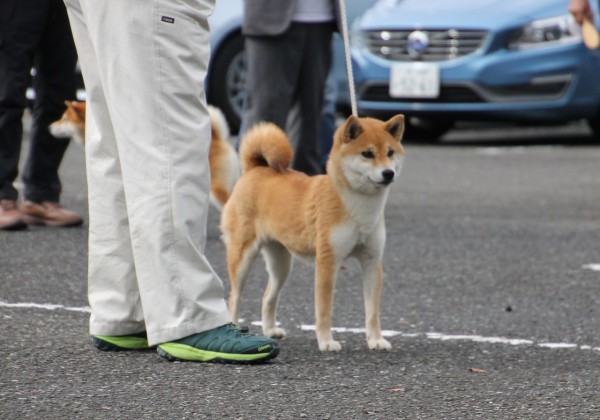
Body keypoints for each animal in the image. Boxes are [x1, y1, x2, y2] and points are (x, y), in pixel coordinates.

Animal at [219, 114, 404, 352]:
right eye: (367, 153)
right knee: (235, 298)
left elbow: (372, 312)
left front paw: (375, 340)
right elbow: (324, 310)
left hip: (281, 264)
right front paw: (326, 342)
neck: (358, 207)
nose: (388, 173)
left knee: (267, 296)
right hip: (243, 257)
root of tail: (255, 169)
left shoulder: (372, 261)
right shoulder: (327, 261)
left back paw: (270, 330)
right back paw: (234, 330)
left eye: (390, 152)